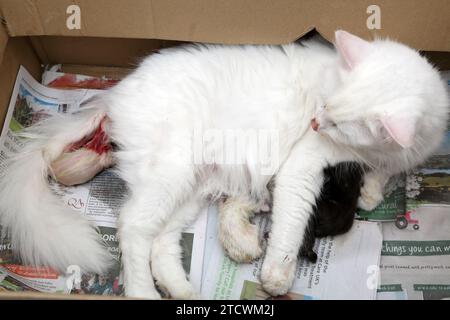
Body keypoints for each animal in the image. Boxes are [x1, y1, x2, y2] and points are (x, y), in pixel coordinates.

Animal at [0, 30, 446, 298]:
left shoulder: (398, 154)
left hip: (190, 189)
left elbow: (386, 174)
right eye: (326, 107)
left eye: (337, 120)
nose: (317, 122)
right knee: (133, 228)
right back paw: (143, 292)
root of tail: (115, 92)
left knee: (161, 243)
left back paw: (183, 292)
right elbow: (290, 227)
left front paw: (372, 191)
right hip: (171, 173)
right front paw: (276, 276)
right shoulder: (303, 166)